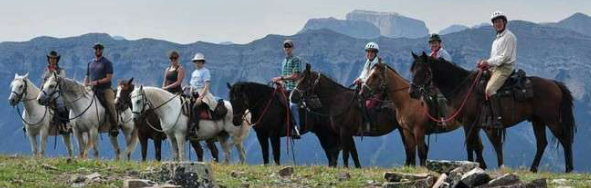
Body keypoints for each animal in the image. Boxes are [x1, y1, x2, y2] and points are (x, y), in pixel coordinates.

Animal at [364, 61, 492, 166]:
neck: (408, 101)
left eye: (375, 75)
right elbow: (411, 152)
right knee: (478, 147)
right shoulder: (407, 131)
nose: (362, 92)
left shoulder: (419, 131)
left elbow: (421, 152)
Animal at [410, 52, 576, 173]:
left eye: (423, 71)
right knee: (542, 143)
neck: (463, 87)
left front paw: (469, 165)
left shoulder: (468, 122)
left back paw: (568, 169)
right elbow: (477, 145)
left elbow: (470, 144)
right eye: (413, 70)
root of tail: (554, 83)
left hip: (551, 120)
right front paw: (480, 166)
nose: (412, 93)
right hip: (538, 121)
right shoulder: (477, 125)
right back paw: (533, 169)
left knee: (565, 139)